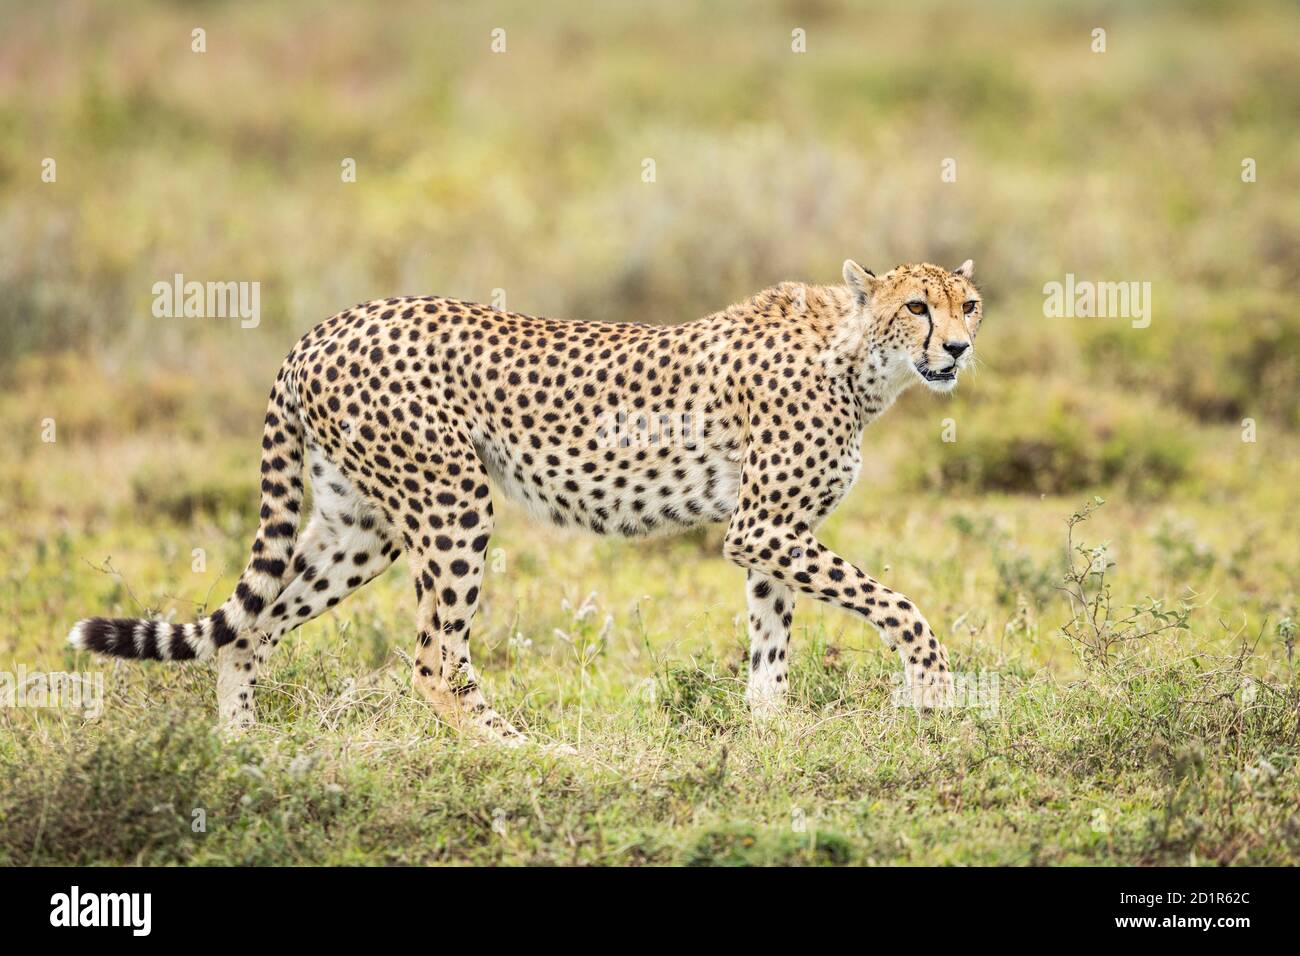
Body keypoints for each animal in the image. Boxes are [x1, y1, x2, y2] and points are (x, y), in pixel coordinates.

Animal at [68, 257, 982, 743]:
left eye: (967, 303)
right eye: (916, 306)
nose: (960, 348)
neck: (858, 360)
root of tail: (327, 326)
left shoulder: (768, 539)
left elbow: (770, 644)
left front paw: (768, 734)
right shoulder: (762, 527)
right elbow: (901, 606)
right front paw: (934, 694)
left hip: (358, 528)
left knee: (250, 630)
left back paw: (244, 747)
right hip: (453, 502)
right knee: (435, 660)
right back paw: (523, 752)